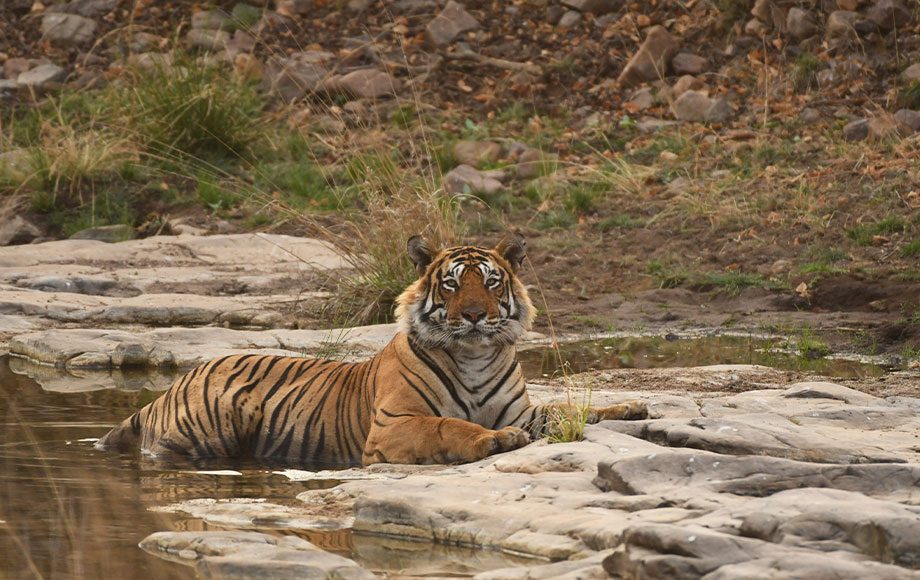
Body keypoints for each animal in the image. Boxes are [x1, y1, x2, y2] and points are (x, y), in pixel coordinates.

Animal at [97, 233, 648, 464]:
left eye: (491, 283)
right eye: (452, 284)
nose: (474, 315)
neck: (474, 355)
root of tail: (171, 386)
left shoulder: (523, 408)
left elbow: (570, 410)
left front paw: (631, 407)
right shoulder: (393, 424)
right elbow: (449, 425)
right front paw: (499, 441)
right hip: (213, 425)